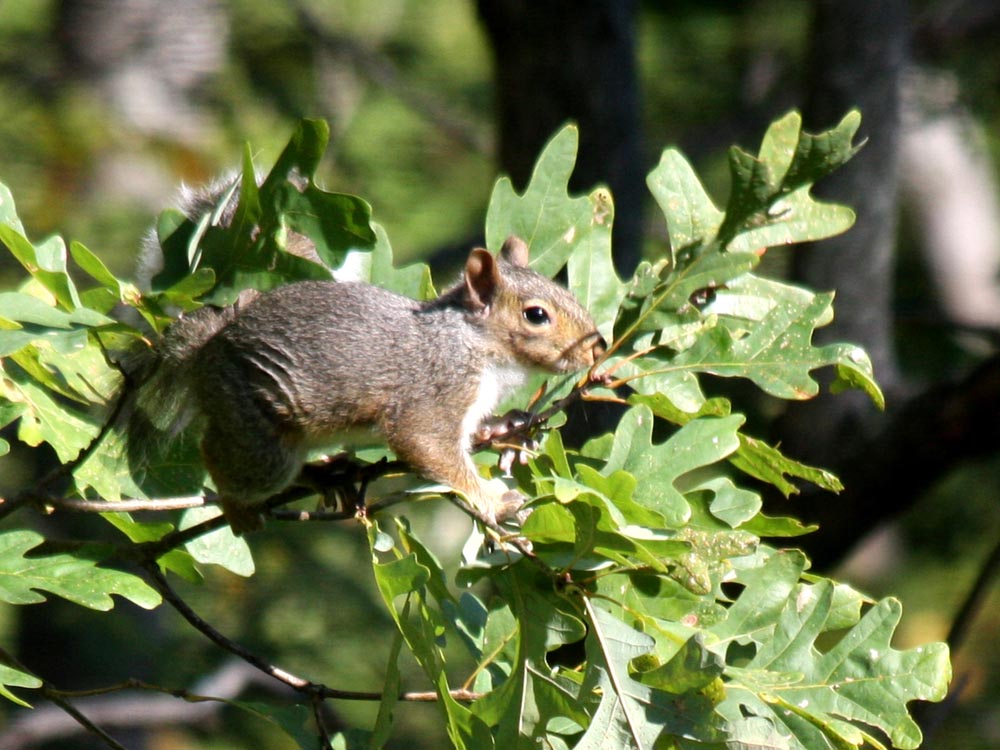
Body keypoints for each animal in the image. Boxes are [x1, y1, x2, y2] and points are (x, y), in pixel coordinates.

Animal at [129, 181, 604, 536]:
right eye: (536, 315)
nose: (597, 346)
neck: (473, 343)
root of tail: (209, 344)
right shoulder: (435, 391)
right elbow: (428, 446)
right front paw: (492, 500)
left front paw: (507, 428)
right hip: (254, 428)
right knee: (220, 455)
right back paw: (238, 506)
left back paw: (327, 473)